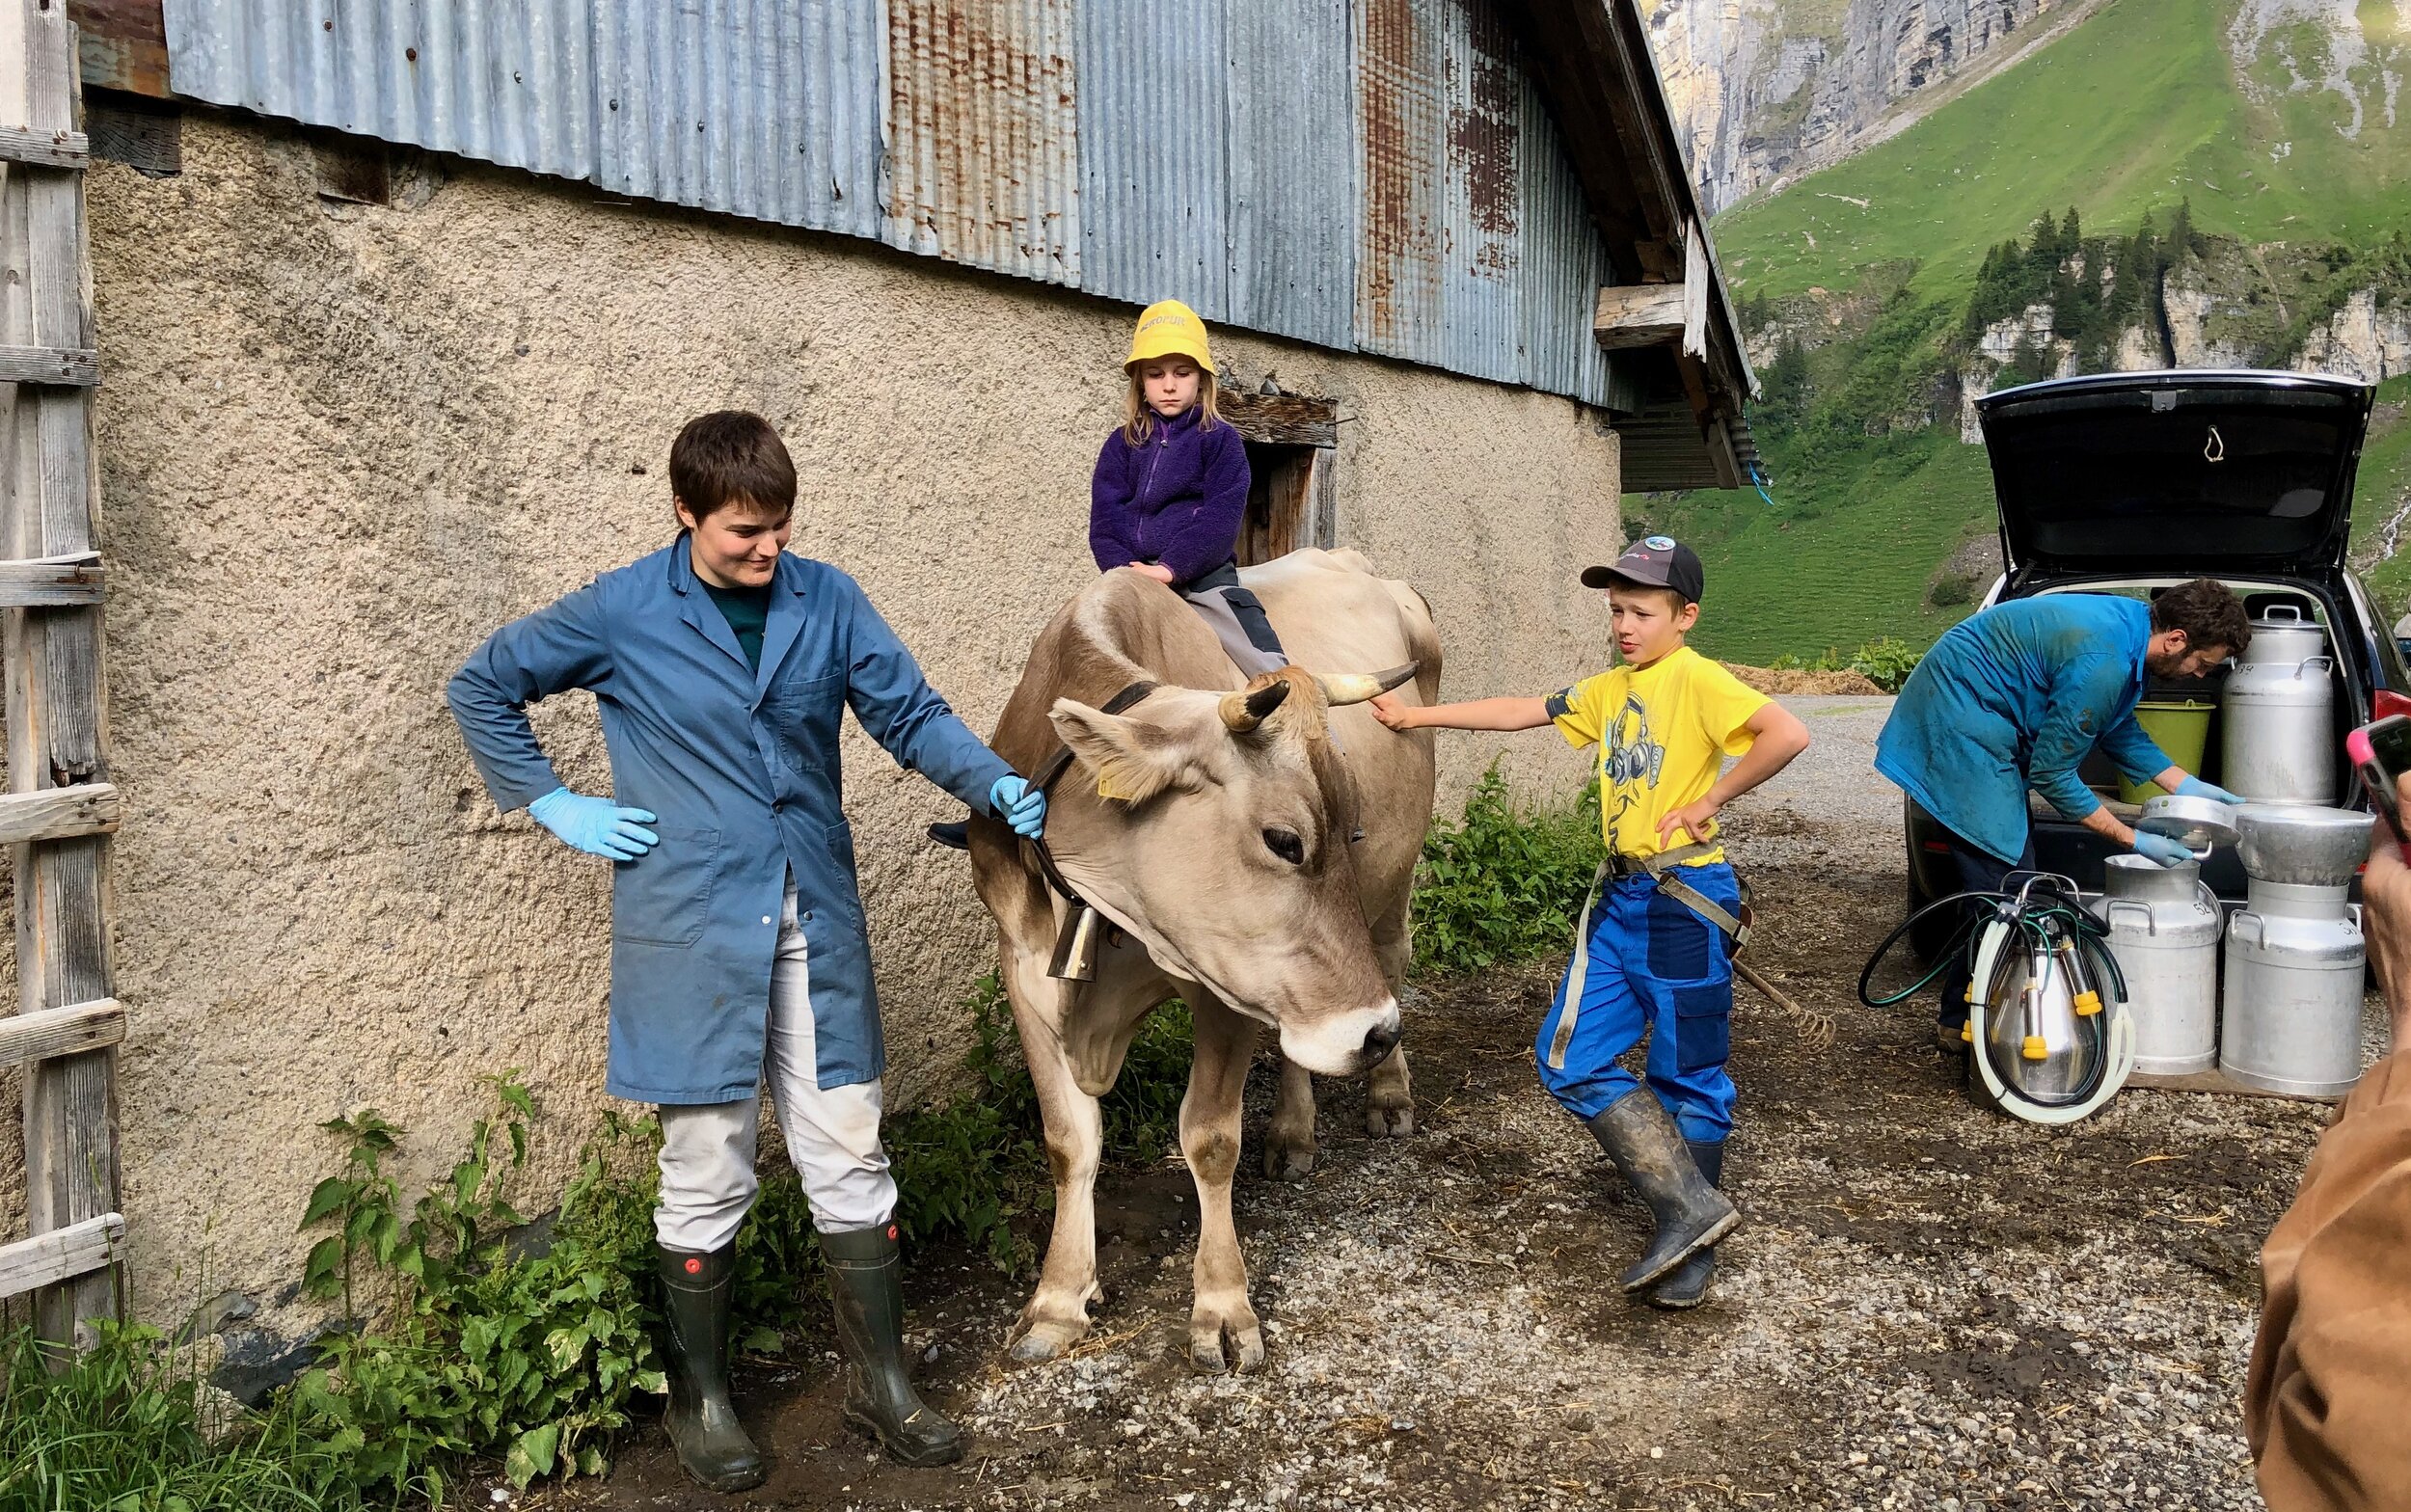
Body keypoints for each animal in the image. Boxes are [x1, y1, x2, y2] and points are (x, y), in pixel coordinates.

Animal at [969, 552, 1437, 1369]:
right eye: (1284, 839)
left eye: (1350, 826)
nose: (1376, 1031)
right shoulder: (1022, 967)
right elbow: (1068, 1140)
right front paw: (1058, 1298)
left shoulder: (1223, 988)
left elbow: (1210, 1138)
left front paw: (1221, 1306)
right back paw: (1295, 1131)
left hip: (1392, 888)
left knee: (1392, 957)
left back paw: (1387, 1097)